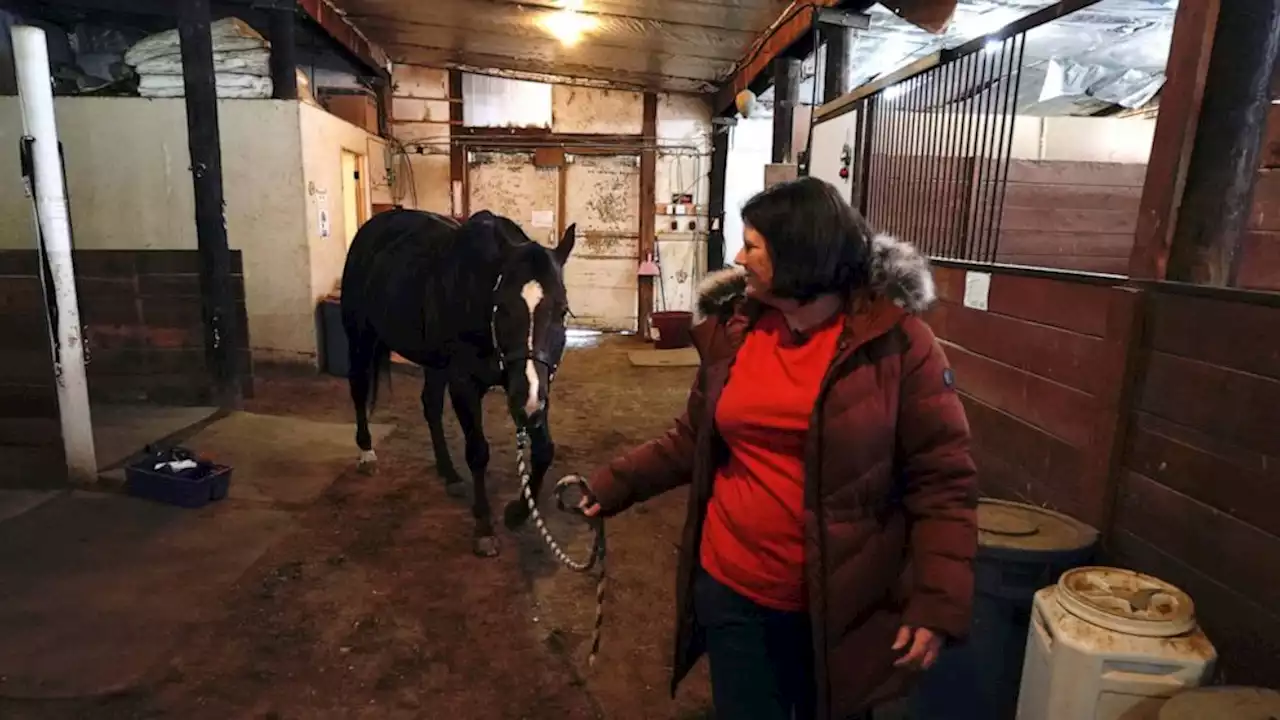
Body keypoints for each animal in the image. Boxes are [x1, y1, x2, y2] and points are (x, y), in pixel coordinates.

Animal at [343, 206, 578, 556]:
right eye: (501, 306)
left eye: (562, 311)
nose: (527, 405)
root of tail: (373, 227)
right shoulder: (465, 384)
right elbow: (478, 451)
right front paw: (484, 527)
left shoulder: (534, 387)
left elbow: (544, 450)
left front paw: (517, 513)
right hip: (360, 337)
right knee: (359, 389)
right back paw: (367, 453)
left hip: (435, 363)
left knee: (429, 405)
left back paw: (449, 472)